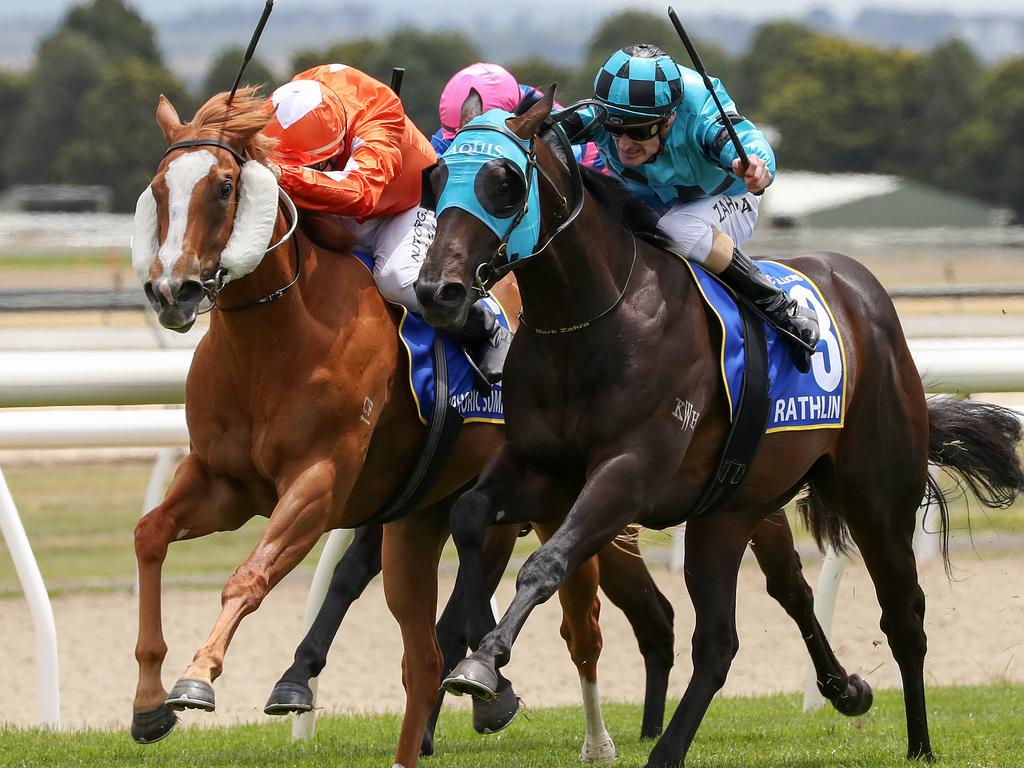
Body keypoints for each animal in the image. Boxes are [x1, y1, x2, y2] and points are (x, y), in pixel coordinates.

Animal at [415, 91, 1024, 768]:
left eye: (504, 183)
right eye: (436, 178)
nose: (437, 291)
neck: (594, 322)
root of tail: (864, 288)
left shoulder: (628, 473)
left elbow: (546, 564)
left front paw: (484, 665)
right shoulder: (538, 466)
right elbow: (470, 515)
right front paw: (483, 667)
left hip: (876, 493)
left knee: (903, 613)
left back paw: (918, 743)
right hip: (730, 512)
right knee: (732, 633)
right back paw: (721, 731)